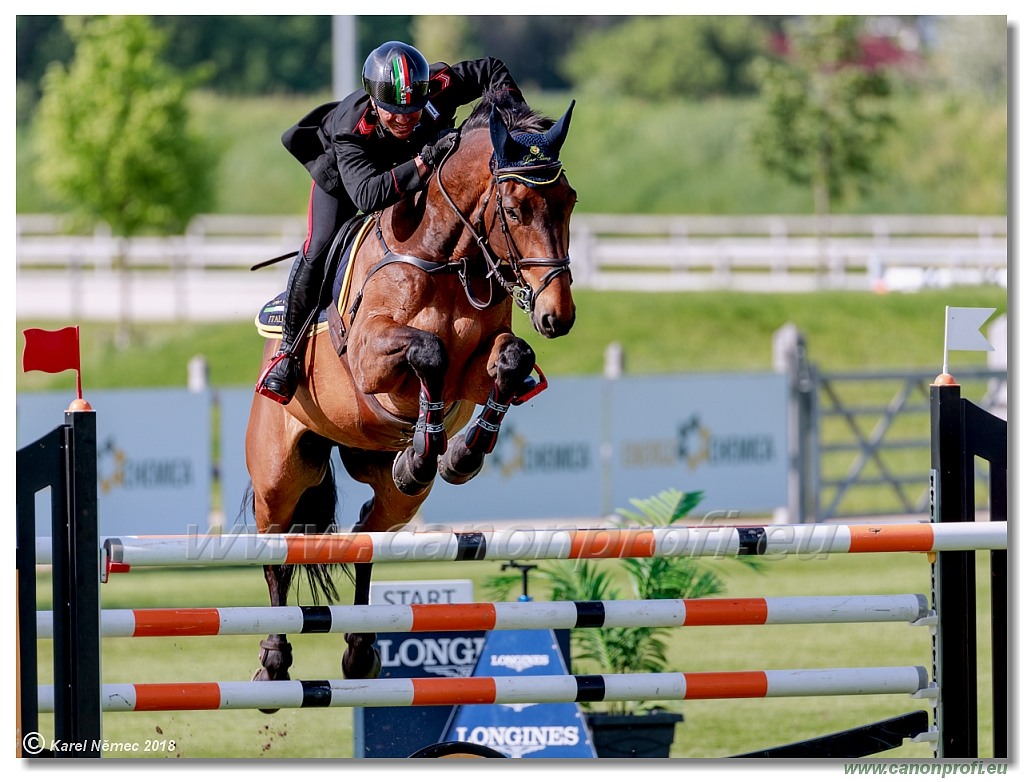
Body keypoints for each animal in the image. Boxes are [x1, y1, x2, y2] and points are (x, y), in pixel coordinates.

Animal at [240, 88, 577, 691]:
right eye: (515, 209)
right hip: (279, 476)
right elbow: (428, 352)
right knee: (277, 549)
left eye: (570, 202)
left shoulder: (476, 369)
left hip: (391, 497)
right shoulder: (372, 358)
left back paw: (360, 648)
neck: (444, 254)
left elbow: (510, 361)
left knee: (365, 533)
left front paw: (459, 454)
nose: (556, 316)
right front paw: (429, 451)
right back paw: (275, 659)